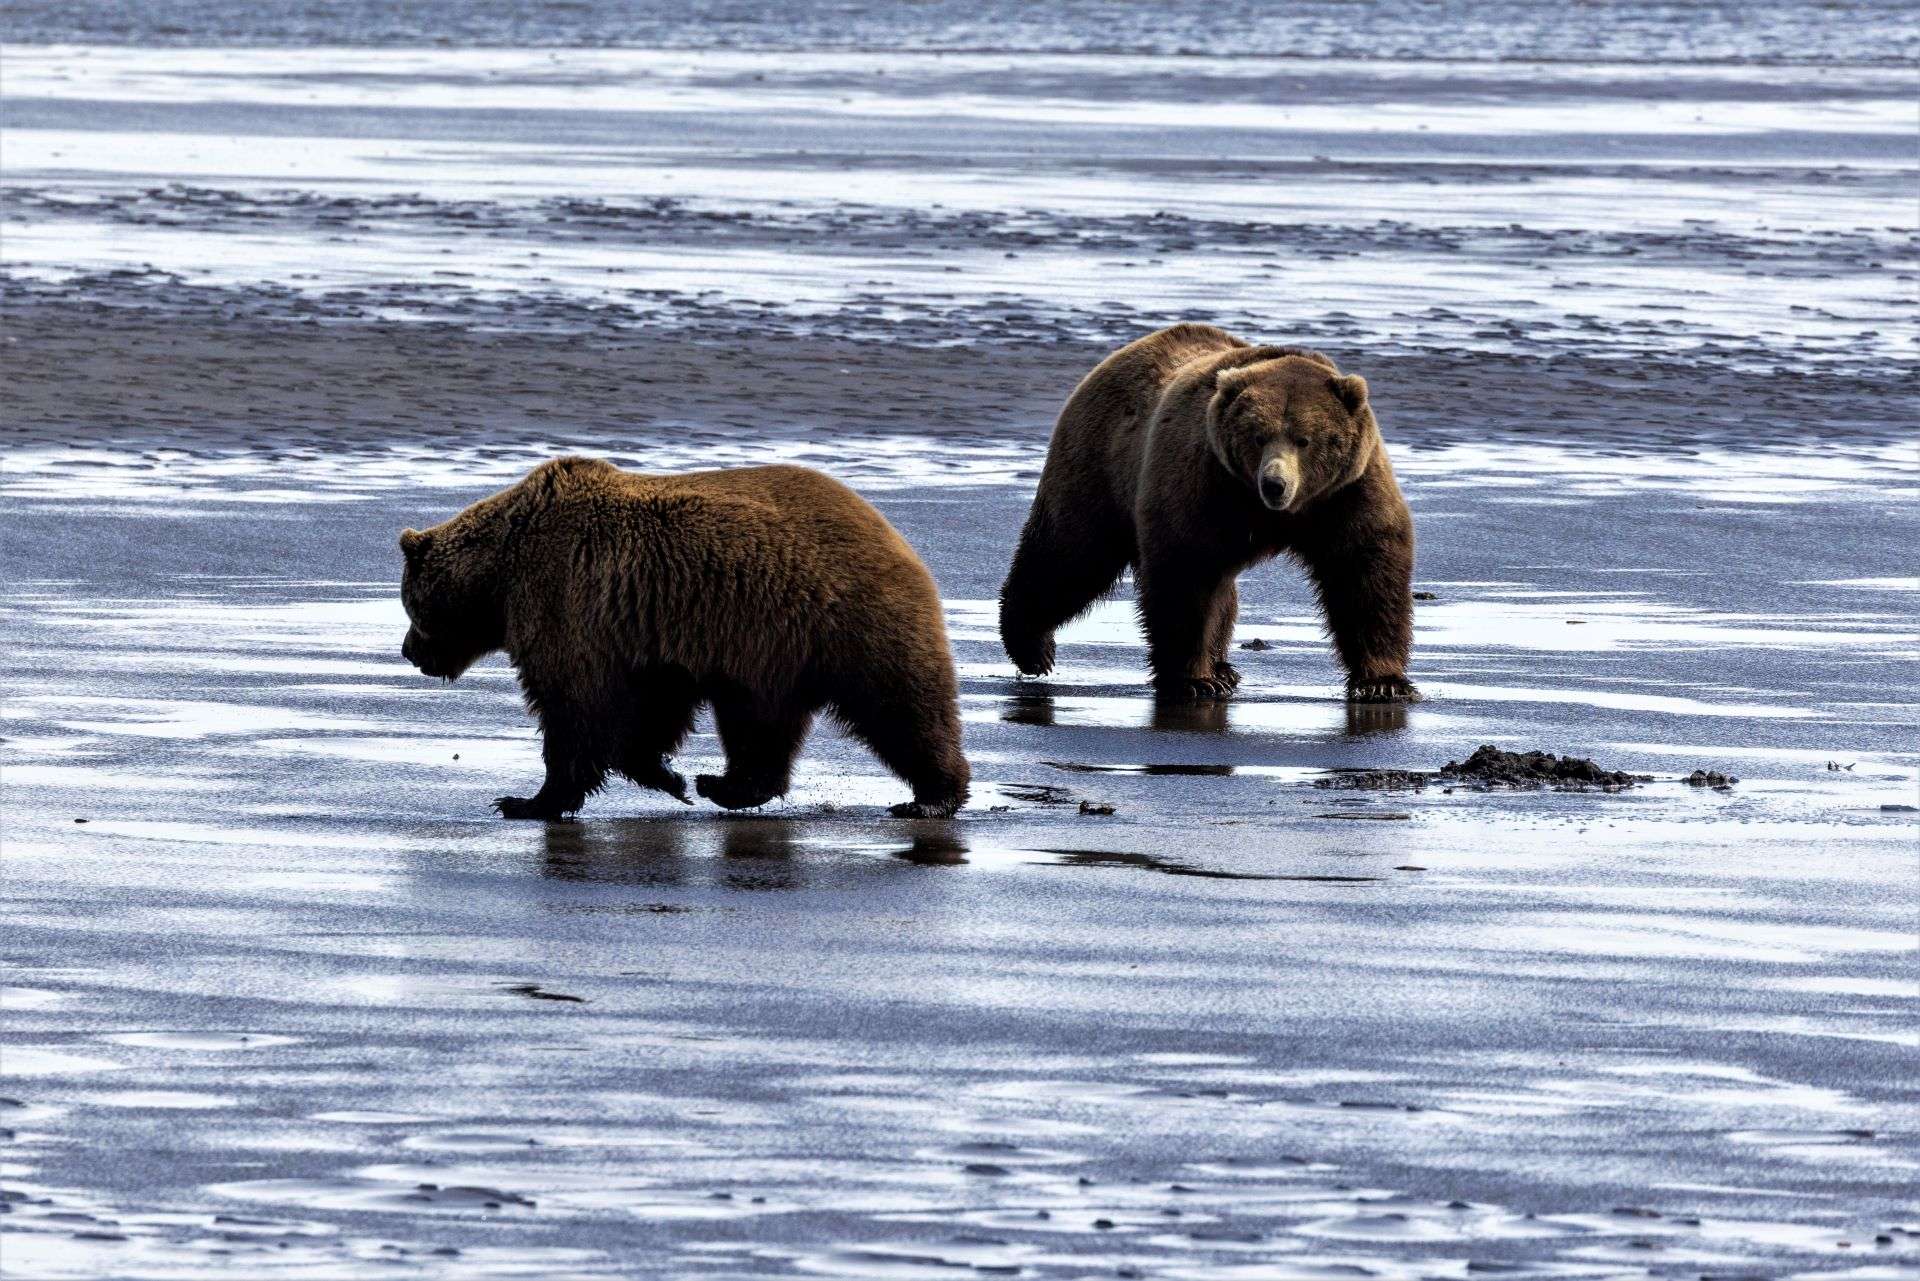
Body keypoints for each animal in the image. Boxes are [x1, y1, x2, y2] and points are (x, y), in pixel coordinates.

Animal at [397, 460, 967, 821]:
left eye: (409, 605)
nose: (407, 651)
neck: (501, 574)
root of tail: (890, 531)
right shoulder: (648, 636)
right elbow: (650, 710)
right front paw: (668, 776)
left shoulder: (566, 604)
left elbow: (573, 707)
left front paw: (527, 801)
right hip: (769, 651)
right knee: (760, 722)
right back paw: (727, 785)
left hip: (841, 618)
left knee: (900, 705)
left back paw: (931, 796)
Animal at [998, 320, 1420, 702]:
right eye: (1258, 436)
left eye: (1304, 439)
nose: (1275, 484)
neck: (1275, 513)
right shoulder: (1206, 481)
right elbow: (1187, 571)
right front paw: (1194, 680)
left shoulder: (1346, 492)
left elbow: (1365, 572)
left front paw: (1384, 682)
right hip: (1100, 465)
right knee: (1071, 554)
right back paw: (1032, 646)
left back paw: (1223, 667)